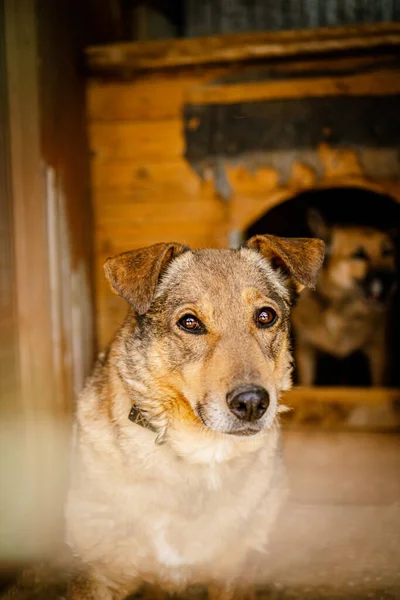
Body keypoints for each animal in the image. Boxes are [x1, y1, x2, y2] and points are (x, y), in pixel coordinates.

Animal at [64, 236, 324, 600]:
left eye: (265, 316)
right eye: (190, 323)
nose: (252, 403)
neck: (198, 453)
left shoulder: (233, 573)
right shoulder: (98, 573)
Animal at [290, 211, 396, 386]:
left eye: (387, 252)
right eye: (359, 255)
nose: (390, 279)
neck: (344, 311)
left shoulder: (378, 354)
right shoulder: (306, 352)